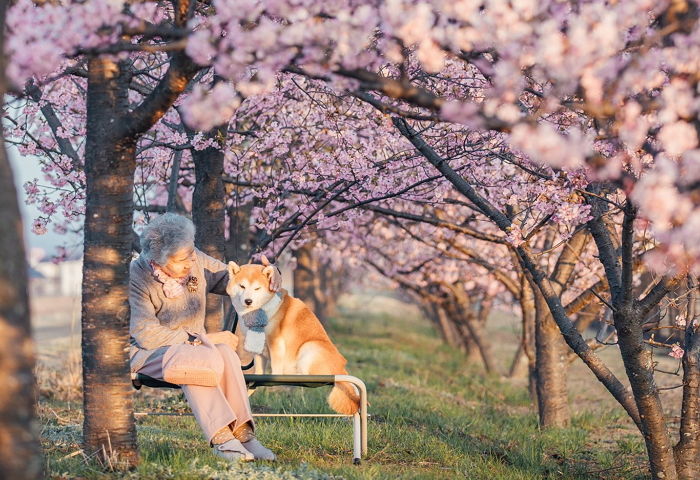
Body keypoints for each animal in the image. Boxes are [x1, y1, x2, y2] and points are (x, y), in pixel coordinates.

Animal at [227, 256, 360, 414]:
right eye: (242, 286)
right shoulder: (259, 350)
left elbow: (276, 369)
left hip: (309, 347)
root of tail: (342, 370)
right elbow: (259, 370)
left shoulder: (275, 342)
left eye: (257, 288)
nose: (248, 301)